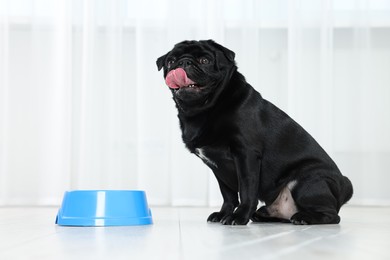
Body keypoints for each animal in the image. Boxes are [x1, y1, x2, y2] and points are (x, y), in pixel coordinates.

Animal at [156, 39, 354, 224]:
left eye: (205, 60)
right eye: (170, 61)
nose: (183, 62)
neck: (204, 109)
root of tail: (342, 189)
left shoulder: (246, 154)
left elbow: (246, 191)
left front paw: (239, 216)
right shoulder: (218, 167)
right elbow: (228, 195)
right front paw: (223, 214)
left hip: (305, 181)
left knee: (332, 215)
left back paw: (305, 217)